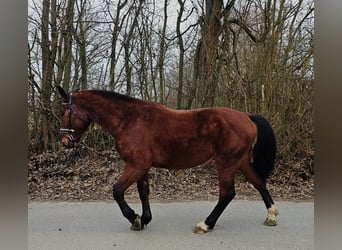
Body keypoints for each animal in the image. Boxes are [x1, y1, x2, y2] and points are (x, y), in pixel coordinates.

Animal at [57, 87, 280, 233]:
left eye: (64, 111)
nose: (65, 141)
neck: (128, 120)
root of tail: (247, 116)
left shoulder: (137, 164)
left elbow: (117, 191)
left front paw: (134, 218)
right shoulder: (141, 166)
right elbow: (143, 192)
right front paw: (144, 218)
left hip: (226, 162)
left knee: (227, 194)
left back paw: (206, 224)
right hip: (240, 161)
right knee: (259, 182)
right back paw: (271, 214)